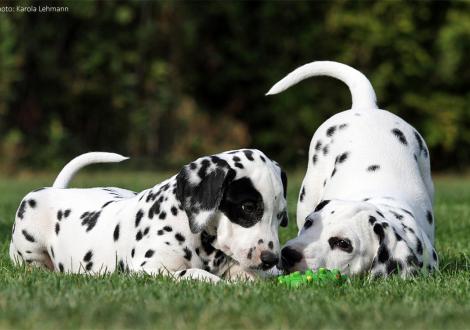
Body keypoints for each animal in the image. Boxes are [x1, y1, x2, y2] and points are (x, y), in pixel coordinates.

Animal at [9, 150, 288, 282]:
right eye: (248, 207)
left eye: (281, 215)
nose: (272, 259)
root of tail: (59, 190)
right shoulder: (150, 269)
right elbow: (195, 274)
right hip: (29, 230)